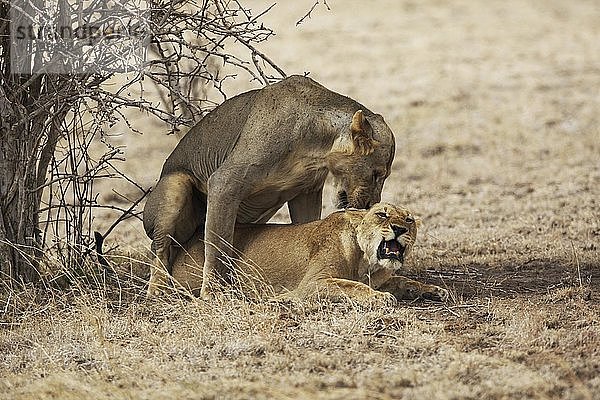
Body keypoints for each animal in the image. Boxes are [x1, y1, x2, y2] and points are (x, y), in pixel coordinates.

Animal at [143, 76, 396, 298]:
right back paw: (158, 290)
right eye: (377, 174)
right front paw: (213, 293)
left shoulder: (307, 192)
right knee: (160, 249)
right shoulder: (224, 183)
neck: (318, 145)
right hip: (176, 184)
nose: (371, 204)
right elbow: (217, 245)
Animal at [169, 203, 450, 304]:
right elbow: (351, 286)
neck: (366, 263)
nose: (400, 228)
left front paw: (434, 290)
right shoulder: (313, 284)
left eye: (409, 220)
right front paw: (380, 298)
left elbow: (403, 280)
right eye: (382, 213)